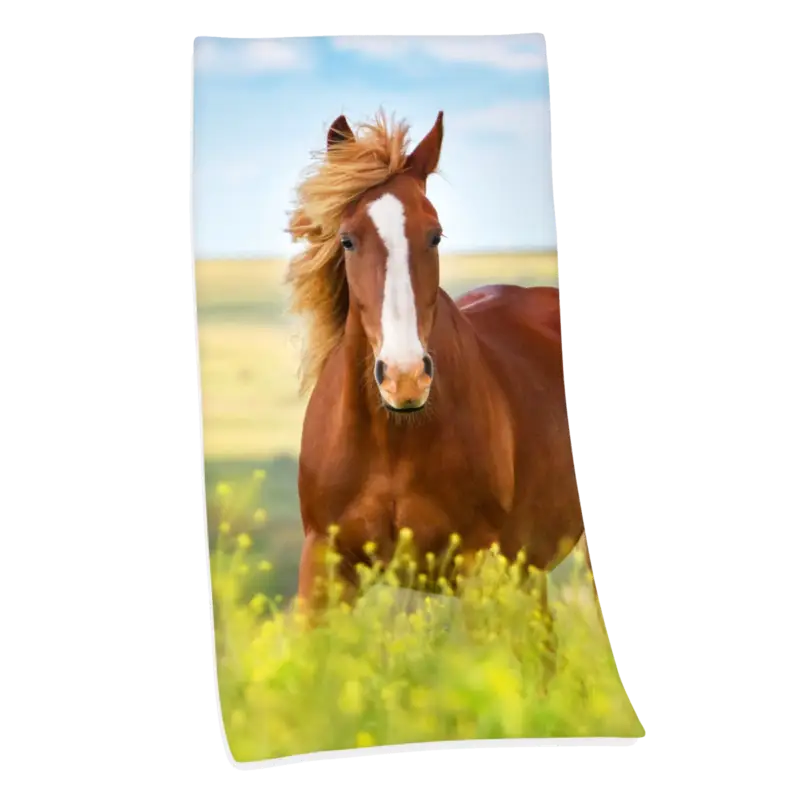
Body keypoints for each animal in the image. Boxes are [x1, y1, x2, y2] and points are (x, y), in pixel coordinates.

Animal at [285, 110, 591, 648]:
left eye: (435, 236)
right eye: (347, 239)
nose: (405, 378)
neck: (393, 441)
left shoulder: (478, 569)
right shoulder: (323, 565)